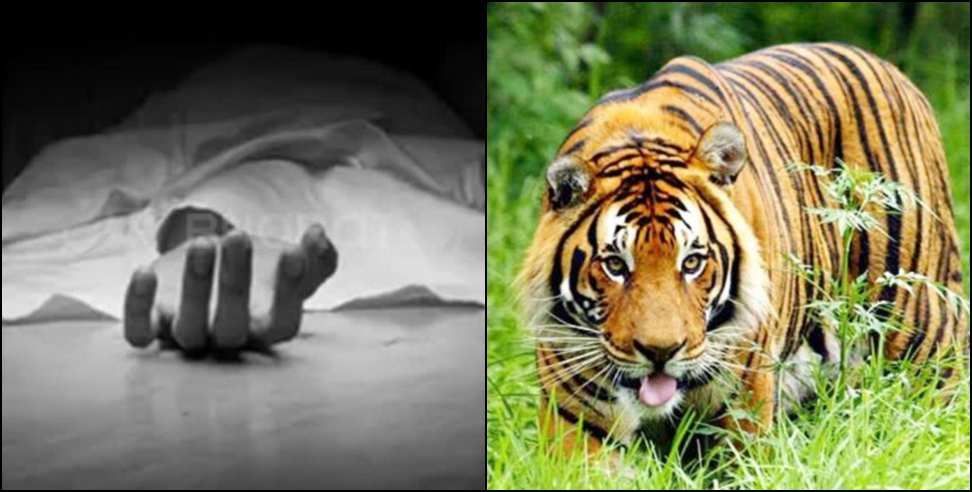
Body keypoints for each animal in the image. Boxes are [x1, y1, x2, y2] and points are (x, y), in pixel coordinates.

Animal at [516, 42, 968, 456]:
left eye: (692, 262)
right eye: (614, 265)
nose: (661, 353)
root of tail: (892, 69)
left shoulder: (742, 405)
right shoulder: (578, 421)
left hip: (919, 329)